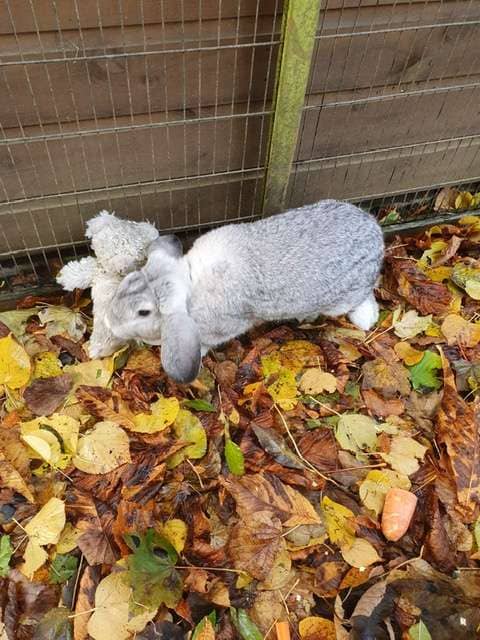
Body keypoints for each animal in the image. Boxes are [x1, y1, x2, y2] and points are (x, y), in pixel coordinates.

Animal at [105, 199, 382, 380]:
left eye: (143, 312)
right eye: (128, 280)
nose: (109, 320)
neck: (191, 281)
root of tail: (376, 234)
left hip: (345, 298)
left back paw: (365, 318)